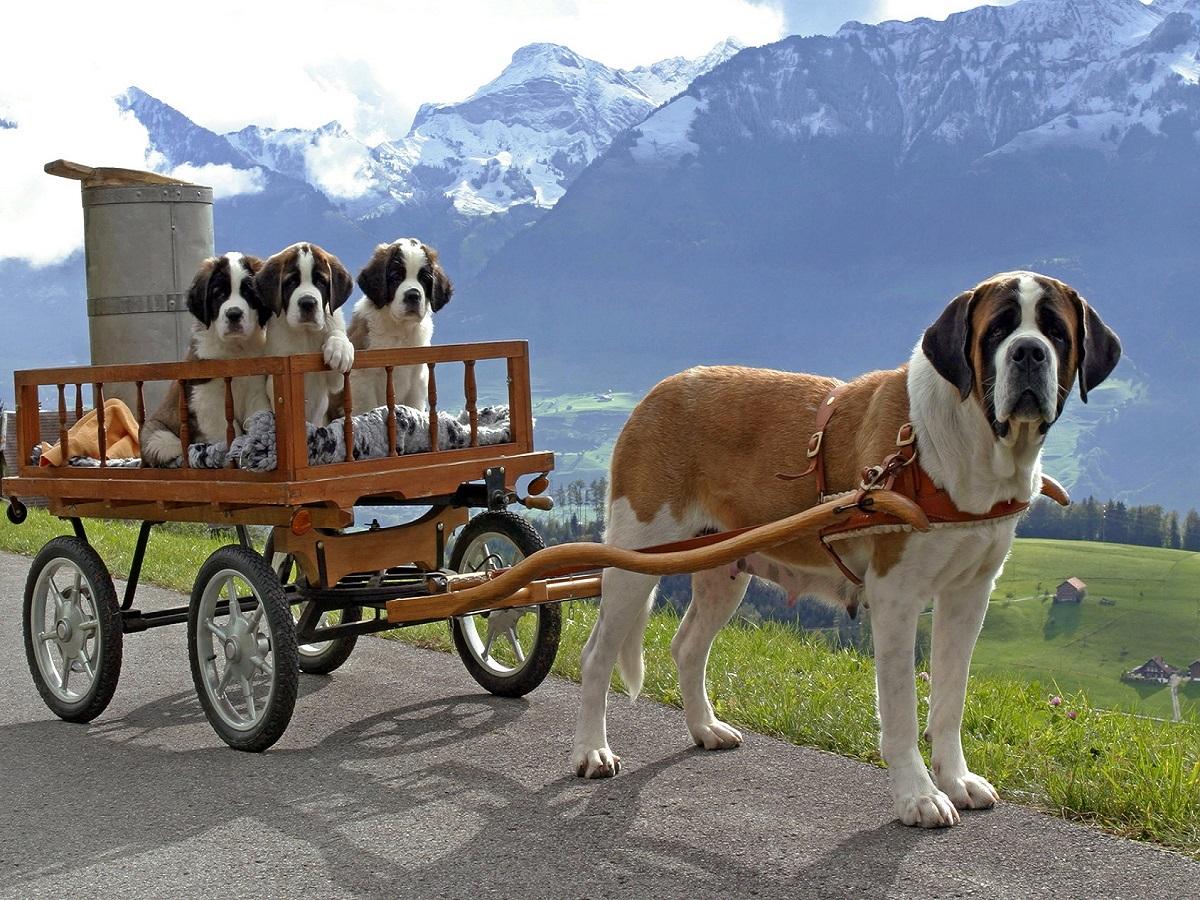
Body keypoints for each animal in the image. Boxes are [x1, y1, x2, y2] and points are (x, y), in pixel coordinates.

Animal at [140, 252, 272, 468]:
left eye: (248, 293)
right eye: (218, 293)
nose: (234, 314)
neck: (236, 349)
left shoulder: (257, 390)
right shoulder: (206, 396)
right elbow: (226, 430)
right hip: (156, 434)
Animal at [259, 237, 355, 424]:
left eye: (321, 282)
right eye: (291, 282)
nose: (308, 303)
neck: (306, 333)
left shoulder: (336, 381)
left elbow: (337, 335)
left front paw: (340, 349)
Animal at [345, 236, 451, 412]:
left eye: (424, 279)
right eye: (396, 277)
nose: (413, 295)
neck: (400, 329)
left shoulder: (417, 380)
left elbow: (414, 407)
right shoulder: (362, 379)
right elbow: (367, 406)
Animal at [566, 273, 1118, 830]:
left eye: (1055, 331)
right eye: (998, 330)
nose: (1028, 352)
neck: (965, 448)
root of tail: (658, 392)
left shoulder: (969, 597)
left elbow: (949, 697)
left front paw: (957, 780)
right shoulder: (896, 597)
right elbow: (900, 707)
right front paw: (917, 796)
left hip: (723, 570)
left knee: (687, 647)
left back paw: (704, 728)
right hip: (636, 559)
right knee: (596, 655)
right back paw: (592, 751)